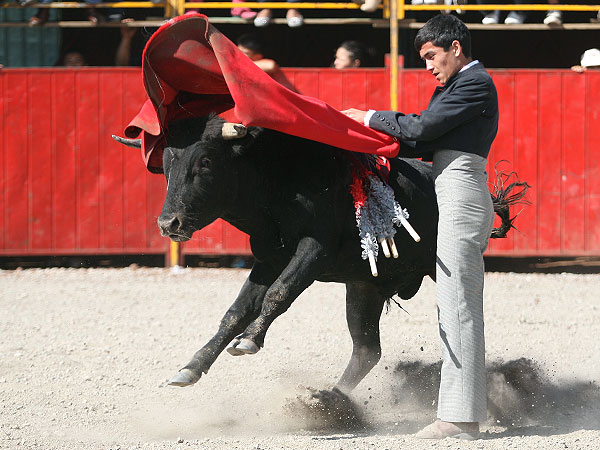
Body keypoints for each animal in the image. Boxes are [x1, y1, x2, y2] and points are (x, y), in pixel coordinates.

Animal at [115, 115, 528, 390]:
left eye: (205, 161)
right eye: (165, 164)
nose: (169, 223)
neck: (282, 181)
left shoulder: (314, 251)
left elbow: (279, 293)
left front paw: (250, 340)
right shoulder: (268, 259)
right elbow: (235, 311)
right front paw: (191, 367)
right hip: (364, 288)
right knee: (367, 350)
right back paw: (333, 401)